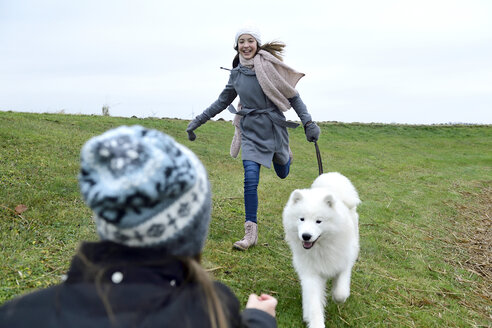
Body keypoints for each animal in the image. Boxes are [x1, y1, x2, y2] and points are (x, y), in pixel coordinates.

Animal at [282, 173, 360, 326]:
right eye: (301, 219)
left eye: (319, 221)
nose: (306, 236)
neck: (321, 247)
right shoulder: (311, 272)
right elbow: (313, 303)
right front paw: (316, 322)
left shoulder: (344, 262)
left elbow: (341, 292)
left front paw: (337, 297)